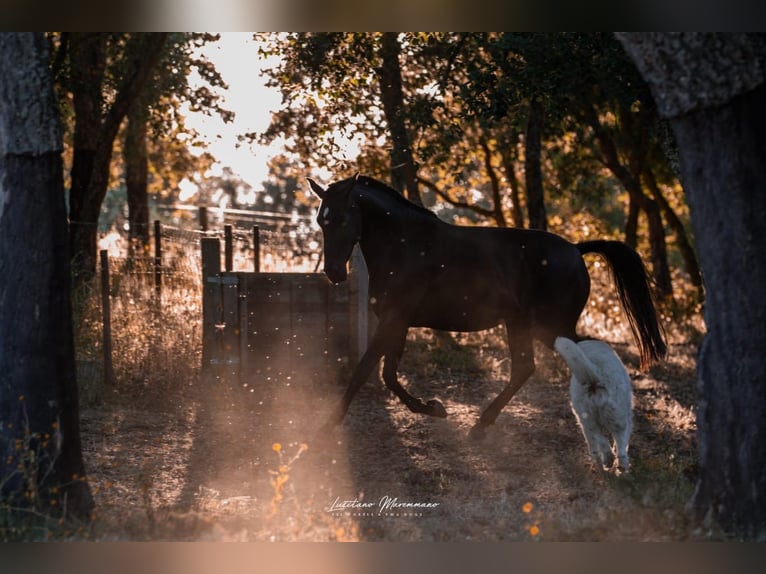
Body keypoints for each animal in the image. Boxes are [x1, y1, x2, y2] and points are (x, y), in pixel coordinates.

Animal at [308, 173, 668, 438]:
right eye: (321, 222)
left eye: (342, 219)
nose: (334, 273)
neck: (406, 245)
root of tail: (576, 250)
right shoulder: (397, 322)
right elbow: (388, 375)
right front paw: (434, 407)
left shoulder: (394, 320)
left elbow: (365, 371)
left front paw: (325, 428)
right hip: (524, 324)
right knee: (526, 367)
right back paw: (481, 425)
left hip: (550, 327)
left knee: (587, 358)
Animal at [556, 338, 632, 472]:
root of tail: (598, 376)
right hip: (618, 418)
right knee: (620, 445)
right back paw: (618, 464)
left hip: (589, 418)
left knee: (601, 439)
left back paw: (607, 461)